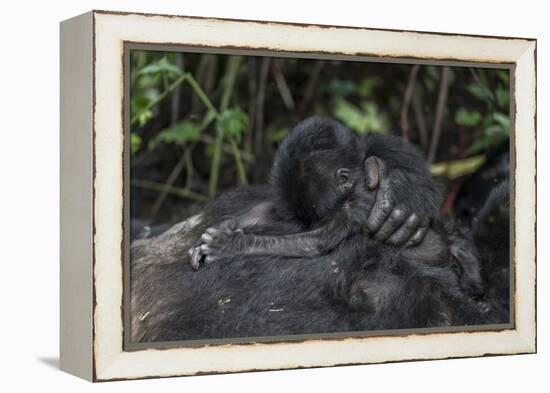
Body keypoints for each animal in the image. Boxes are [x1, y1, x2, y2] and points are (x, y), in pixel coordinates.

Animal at [190, 117, 440, 266]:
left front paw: (232, 244)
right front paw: (222, 227)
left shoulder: (356, 203)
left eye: (316, 218)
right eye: (307, 220)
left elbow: (316, 240)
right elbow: (272, 210)